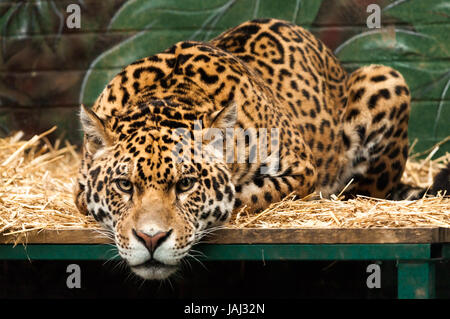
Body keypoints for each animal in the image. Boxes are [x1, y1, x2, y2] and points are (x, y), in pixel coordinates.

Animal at [73, 18, 446, 280]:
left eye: (186, 184)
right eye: (124, 185)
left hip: (385, 77)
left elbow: (247, 197)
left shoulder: (301, 169)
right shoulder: (78, 188)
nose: (151, 239)